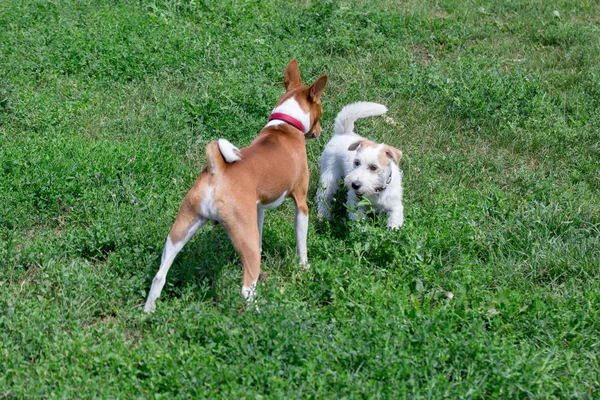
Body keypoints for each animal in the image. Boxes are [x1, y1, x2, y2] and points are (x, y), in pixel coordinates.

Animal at [144, 59, 328, 310]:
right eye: (321, 110)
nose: (319, 132)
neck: (284, 126)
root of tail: (217, 169)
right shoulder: (300, 202)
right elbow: (302, 243)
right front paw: (304, 267)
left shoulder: (258, 208)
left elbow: (260, 236)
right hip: (239, 232)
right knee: (246, 289)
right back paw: (259, 313)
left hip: (182, 228)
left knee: (159, 276)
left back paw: (148, 311)